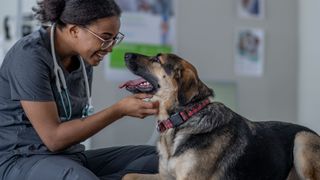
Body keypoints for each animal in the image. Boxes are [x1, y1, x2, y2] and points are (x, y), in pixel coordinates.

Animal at [120, 52, 320, 179]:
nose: (126, 54)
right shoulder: (164, 176)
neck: (184, 117)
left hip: (302, 140)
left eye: (156, 59)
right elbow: (127, 175)